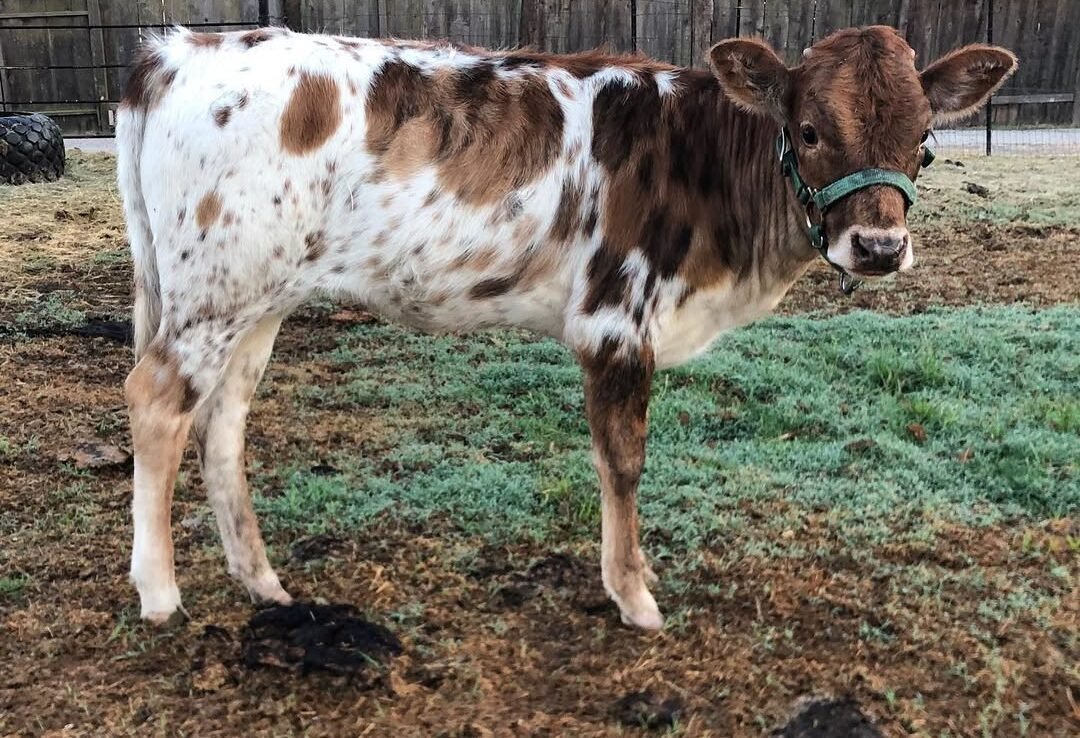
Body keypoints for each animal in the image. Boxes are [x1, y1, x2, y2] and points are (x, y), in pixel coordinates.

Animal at [116, 24, 1015, 630]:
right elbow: (623, 461)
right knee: (157, 401)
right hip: (215, 290)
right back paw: (160, 594)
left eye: (925, 140)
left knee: (224, 421)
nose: (878, 246)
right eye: (809, 129)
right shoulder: (615, 318)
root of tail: (180, 49)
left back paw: (261, 581)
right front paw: (635, 595)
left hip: (257, 296)